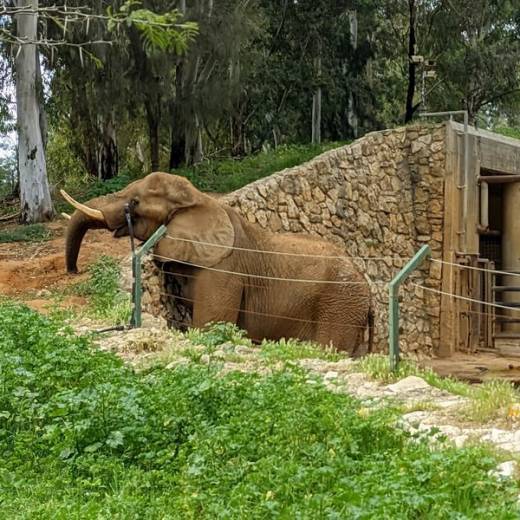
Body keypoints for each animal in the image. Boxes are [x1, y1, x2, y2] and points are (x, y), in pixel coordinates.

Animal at [63, 172, 372, 354]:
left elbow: (210, 326)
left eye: (135, 202)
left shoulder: (224, 270)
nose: (74, 270)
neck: (200, 199)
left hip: (340, 305)